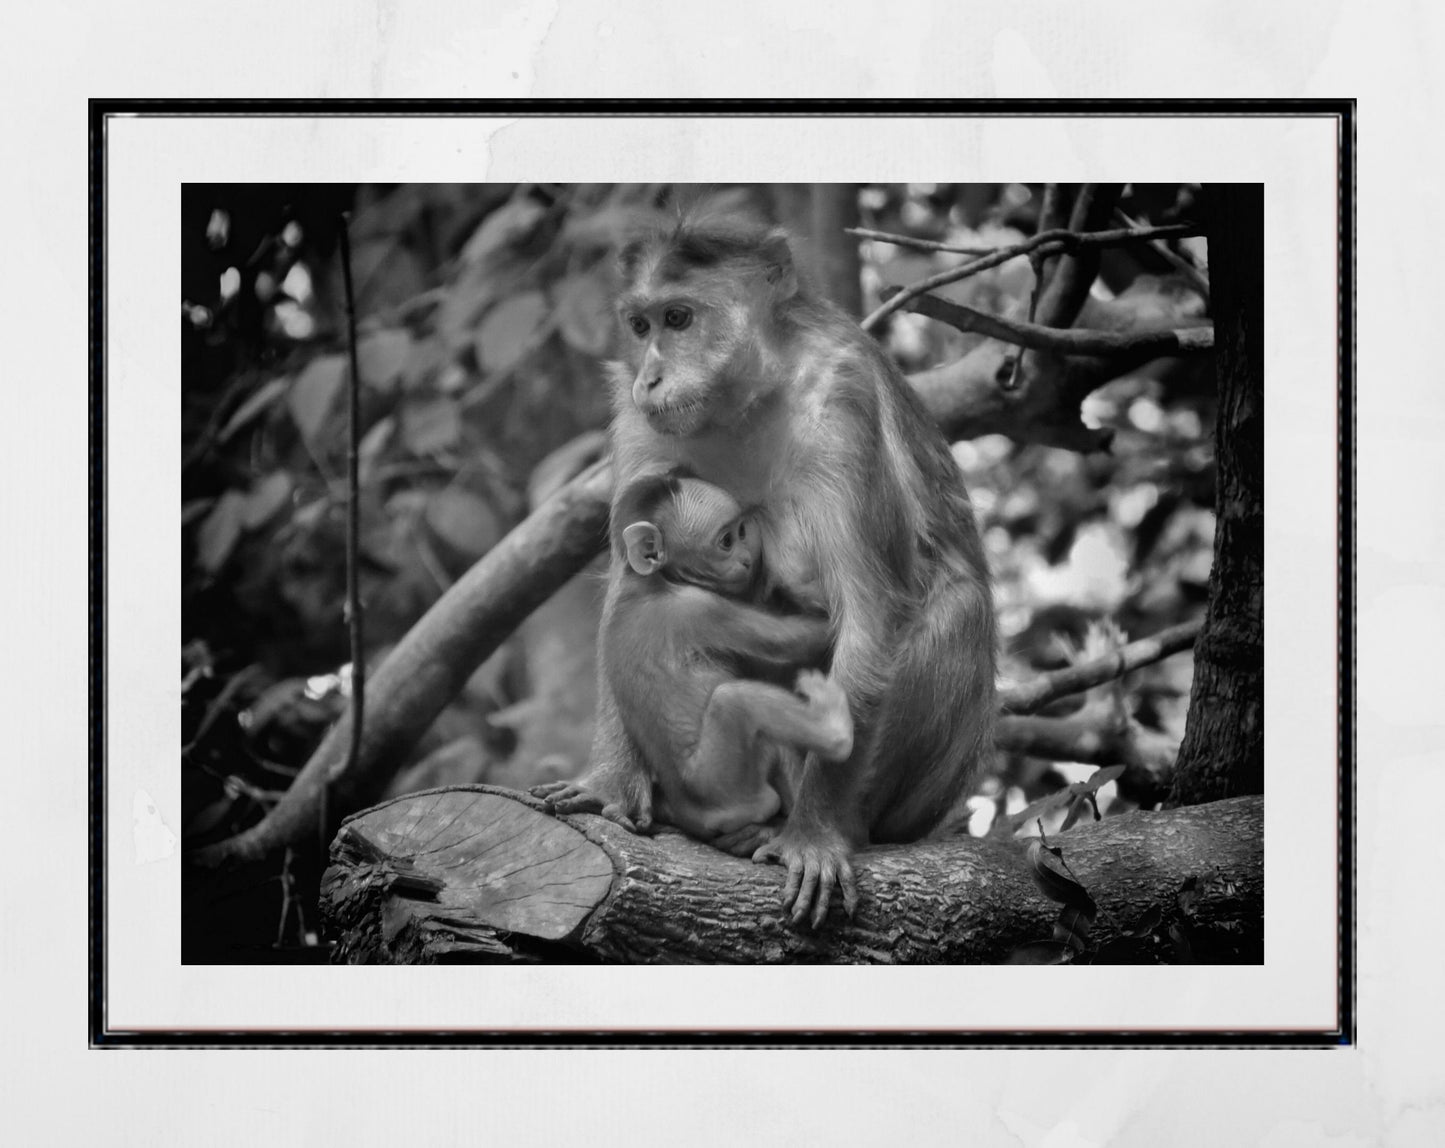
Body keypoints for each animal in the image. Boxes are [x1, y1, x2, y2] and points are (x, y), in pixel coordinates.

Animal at [601, 469, 853, 844]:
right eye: (726, 541)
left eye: (742, 532)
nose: (748, 559)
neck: (649, 582)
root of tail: (698, 818)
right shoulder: (702, 609)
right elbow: (797, 639)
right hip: (724, 785)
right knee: (735, 700)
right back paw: (835, 732)